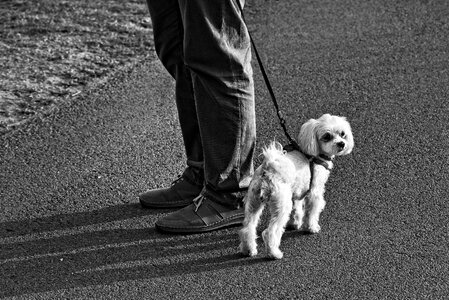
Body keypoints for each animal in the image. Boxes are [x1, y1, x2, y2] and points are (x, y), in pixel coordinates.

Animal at [238, 113, 354, 258]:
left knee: (248, 227)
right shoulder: (314, 191)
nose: (341, 143)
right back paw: (274, 253)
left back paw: (249, 250)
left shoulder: (297, 192)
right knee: (270, 232)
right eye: (327, 136)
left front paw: (295, 223)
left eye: (342, 134)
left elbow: (297, 209)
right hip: (281, 204)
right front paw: (311, 227)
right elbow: (312, 211)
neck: (315, 155)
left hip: (254, 201)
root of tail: (268, 168)